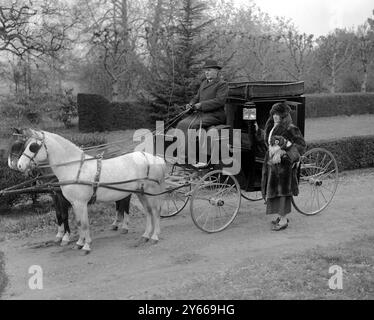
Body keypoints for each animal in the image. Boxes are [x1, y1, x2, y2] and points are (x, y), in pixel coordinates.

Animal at [17, 129, 167, 254]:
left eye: (33, 146)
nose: (19, 165)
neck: (75, 167)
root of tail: (155, 158)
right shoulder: (74, 203)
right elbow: (78, 222)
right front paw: (79, 243)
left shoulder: (80, 203)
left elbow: (84, 223)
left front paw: (86, 245)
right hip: (141, 193)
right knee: (148, 212)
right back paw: (145, 236)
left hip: (150, 192)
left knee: (155, 211)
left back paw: (154, 236)